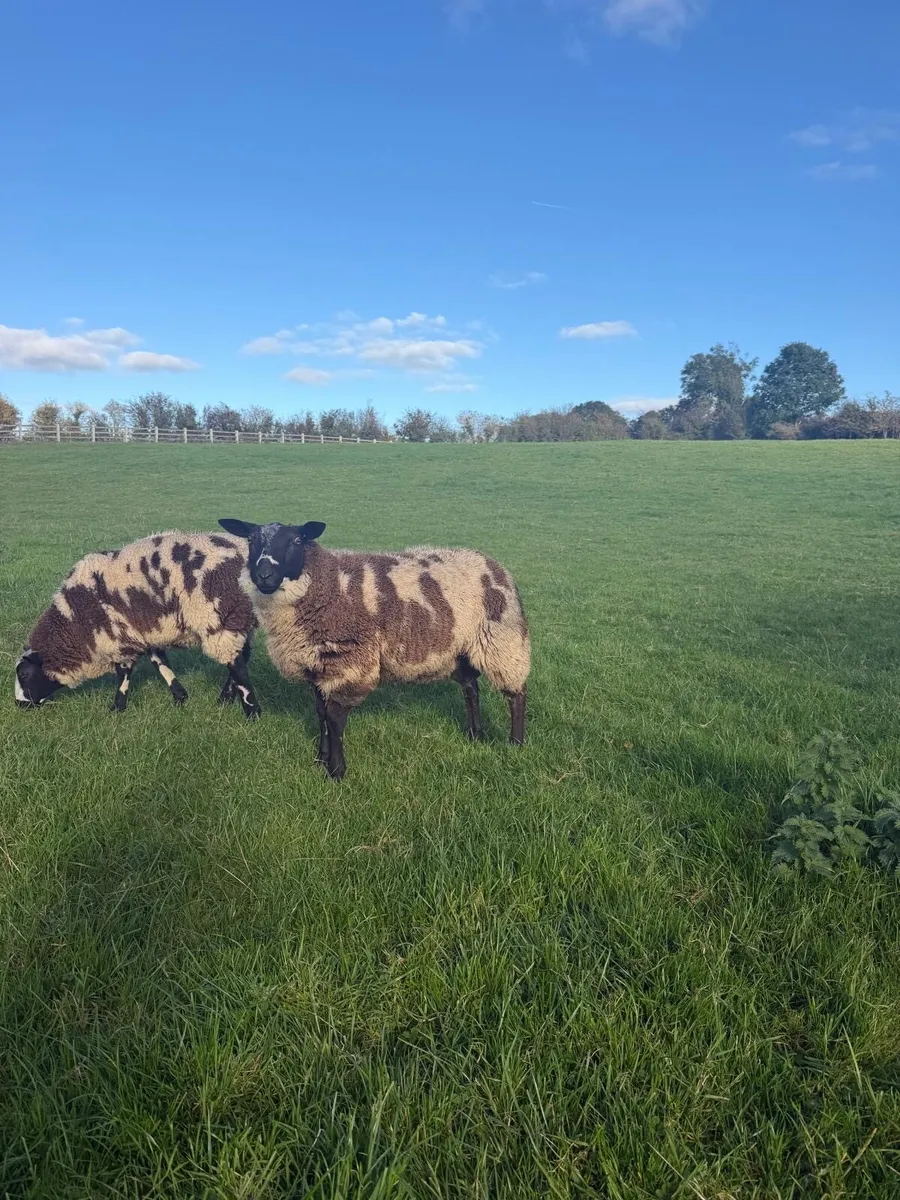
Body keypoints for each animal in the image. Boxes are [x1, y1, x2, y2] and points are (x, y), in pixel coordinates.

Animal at [14, 531, 261, 717]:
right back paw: (225, 699)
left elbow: (124, 673)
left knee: (236, 664)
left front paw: (117, 708)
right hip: (238, 617)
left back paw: (252, 712)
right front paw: (180, 696)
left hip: (219, 617)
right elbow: (160, 662)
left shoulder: (118, 638)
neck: (74, 622)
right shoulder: (144, 633)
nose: (19, 704)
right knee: (242, 654)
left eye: (24, 675)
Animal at [218, 518, 530, 779]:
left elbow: (334, 719)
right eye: (251, 540)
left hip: (501, 639)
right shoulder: (318, 666)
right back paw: (476, 734)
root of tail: (491, 562)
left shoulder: (349, 663)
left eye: (296, 540)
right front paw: (321, 758)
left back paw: (515, 743)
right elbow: (320, 714)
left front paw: (336, 771)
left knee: (516, 693)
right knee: (470, 688)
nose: (264, 574)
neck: (327, 584)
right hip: (459, 648)